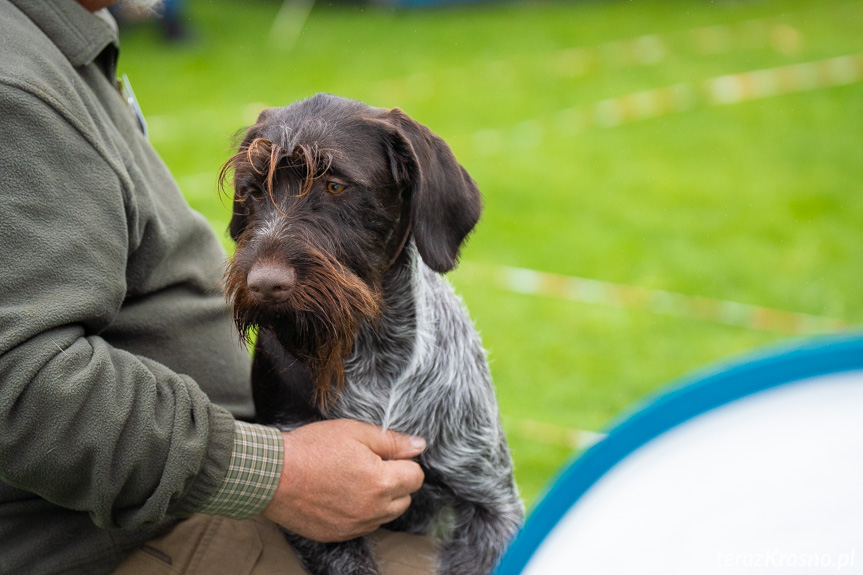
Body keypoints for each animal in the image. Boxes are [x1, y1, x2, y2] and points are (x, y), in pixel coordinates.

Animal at [219, 94, 524, 575]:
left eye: (334, 186)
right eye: (252, 191)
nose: (264, 285)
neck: (372, 351)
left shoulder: (490, 502)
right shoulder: (321, 508)